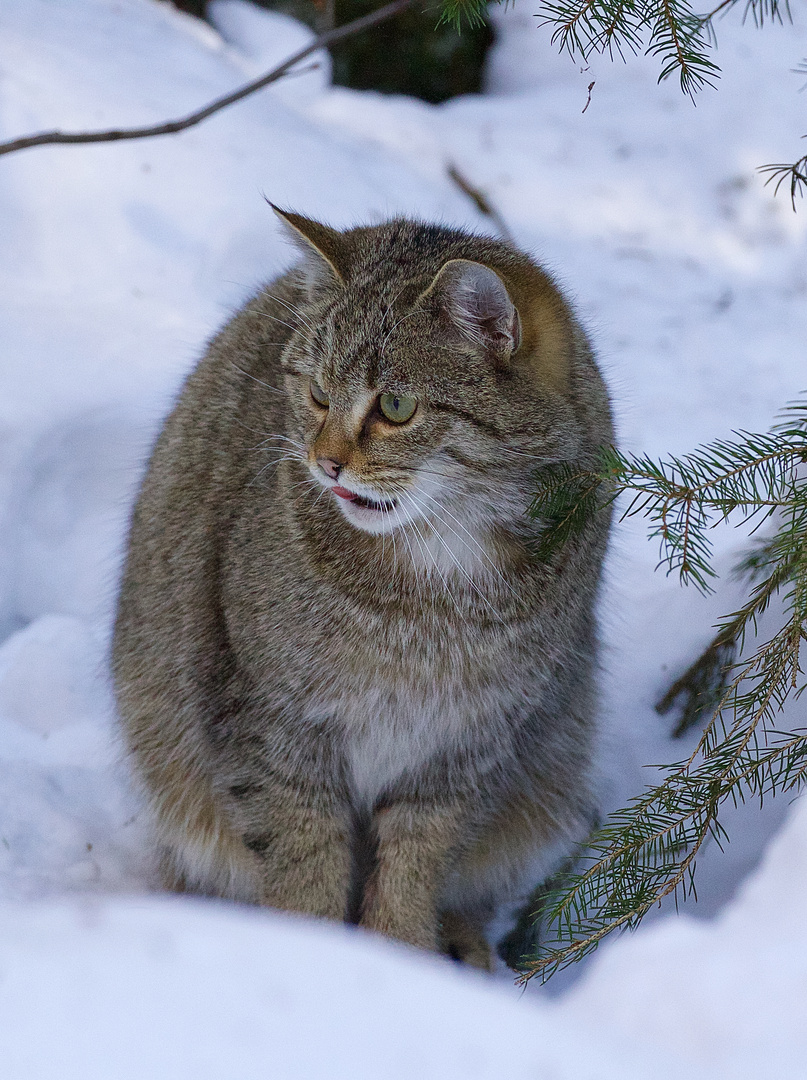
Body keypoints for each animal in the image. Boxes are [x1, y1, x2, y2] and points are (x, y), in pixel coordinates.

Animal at [111, 206, 613, 967]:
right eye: (316, 394)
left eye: (396, 407)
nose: (325, 463)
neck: (435, 581)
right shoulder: (274, 725)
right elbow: (303, 858)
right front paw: (316, 954)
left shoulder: (467, 741)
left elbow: (416, 863)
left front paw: (399, 958)